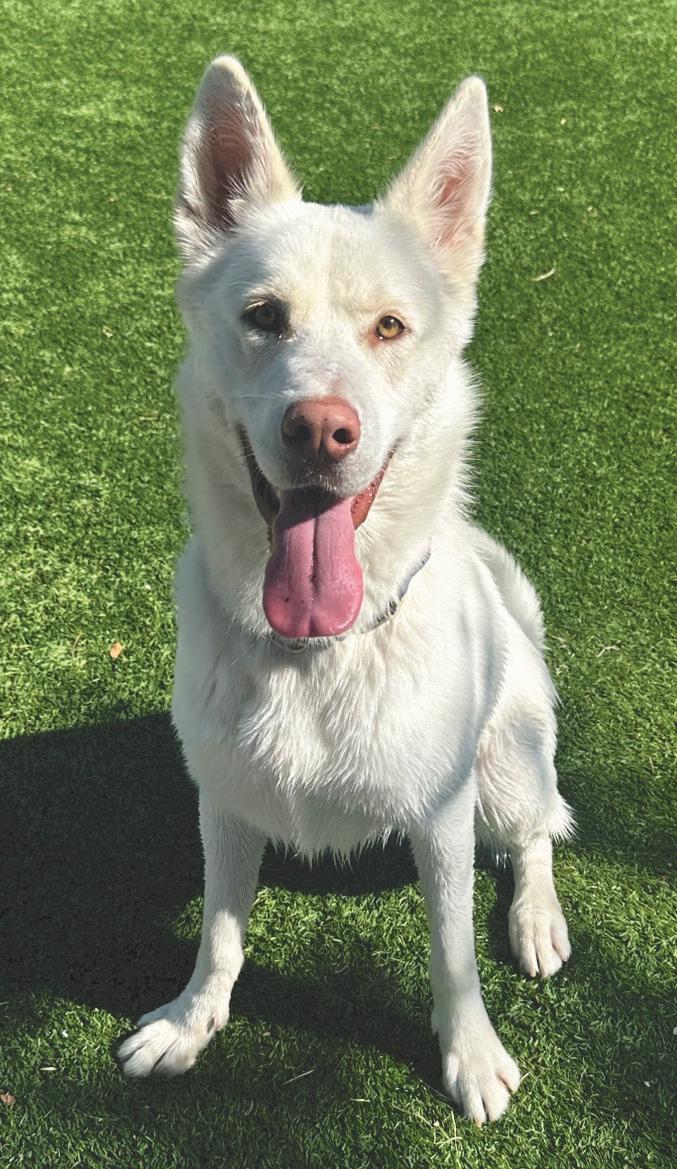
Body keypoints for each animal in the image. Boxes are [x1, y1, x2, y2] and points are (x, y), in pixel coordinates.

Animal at [117, 56, 574, 1124]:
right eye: (262, 317)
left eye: (390, 326)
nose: (320, 429)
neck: (316, 653)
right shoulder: (223, 805)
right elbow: (220, 933)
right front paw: (190, 1022)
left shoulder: (443, 819)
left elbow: (452, 951)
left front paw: (470, 1055)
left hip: (506, 767)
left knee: (540, 832)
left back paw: (536, 919)